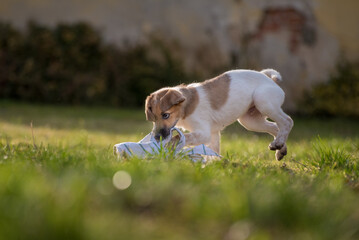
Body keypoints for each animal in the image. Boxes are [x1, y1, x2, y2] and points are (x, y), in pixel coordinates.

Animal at [145, 68, 294, 160]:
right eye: (153, 119)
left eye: (165, 115)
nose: (157, 137)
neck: (187, 105)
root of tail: (270, 79)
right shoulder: (213, 134)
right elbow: (213, 152)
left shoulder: (204, 133)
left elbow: (179, 138)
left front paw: (168, 147)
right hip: (250, 121)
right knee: (275, 127)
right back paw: (280, 149)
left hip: (263, 102)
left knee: (287, 121)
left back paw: (279, 143)